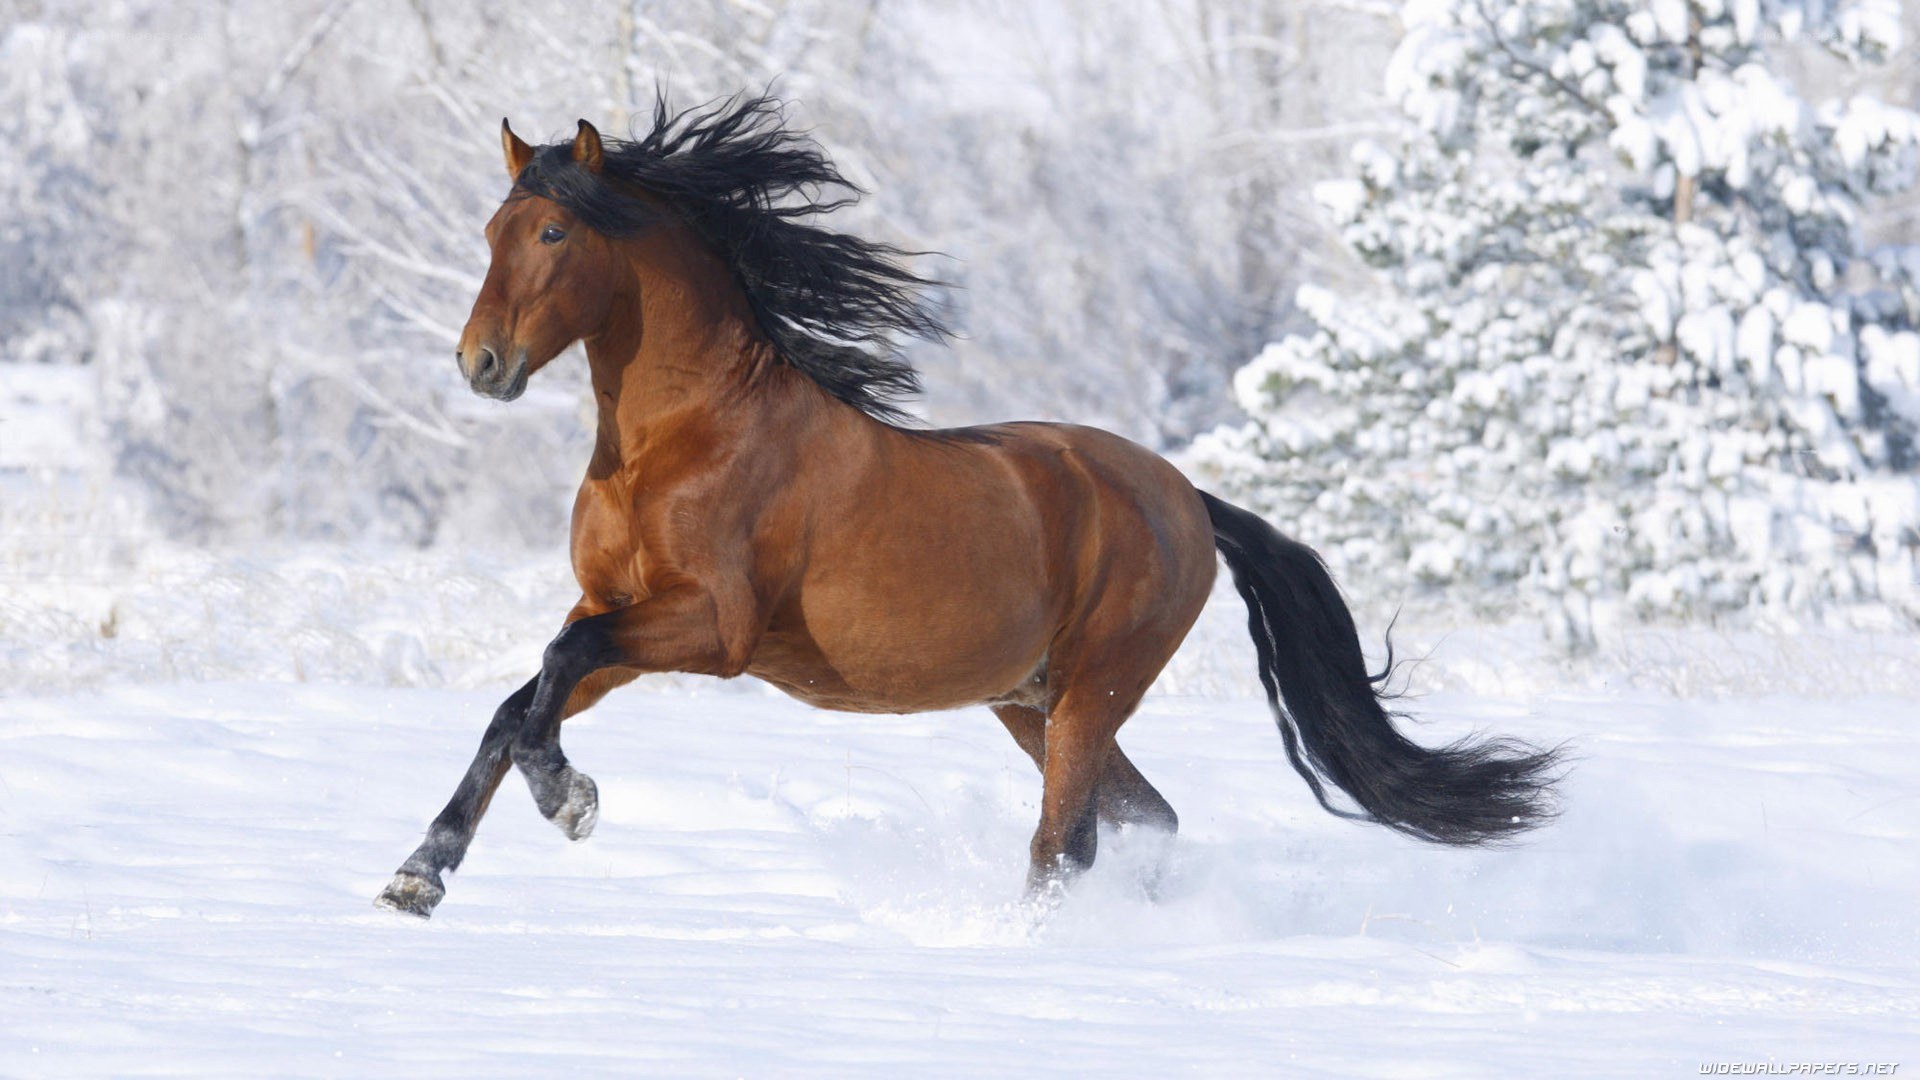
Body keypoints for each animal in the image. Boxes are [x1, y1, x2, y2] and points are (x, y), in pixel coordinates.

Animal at [374, 94, 1561, 919]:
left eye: (554, 237)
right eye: (491, 231)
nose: (480, 364)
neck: (682, 439)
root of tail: (1183, 495)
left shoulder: (709, 629)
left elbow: (548, 678)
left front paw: (569, 801)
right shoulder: (614, 612)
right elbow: (518, 701)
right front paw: (419, 874)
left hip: (1092, 691)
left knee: (1064, 842)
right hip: (1030, 702)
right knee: (1144, 818)